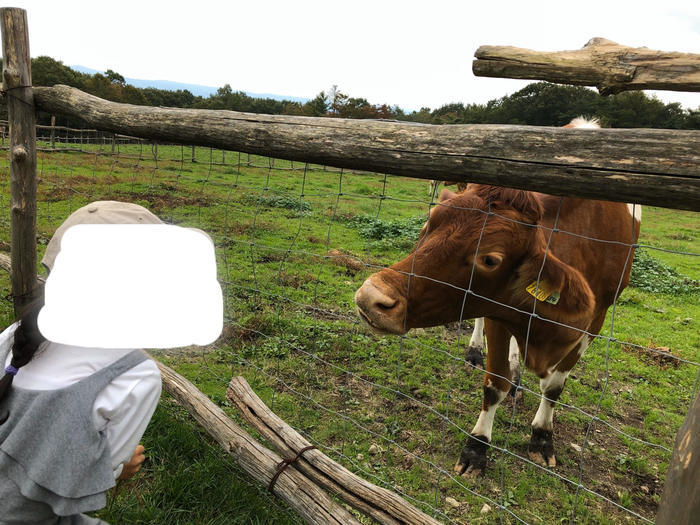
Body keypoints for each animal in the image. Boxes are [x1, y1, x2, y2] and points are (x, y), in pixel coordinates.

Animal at [356, 183, 640, 474]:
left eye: (490, 260)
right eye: (429, 224)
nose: (370, 296)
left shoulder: (595, 320)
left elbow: (553, 388)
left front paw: (542, 437)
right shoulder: (496, 310)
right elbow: (495, 385)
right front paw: (477, 446)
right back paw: (477, 353)